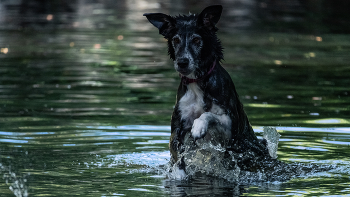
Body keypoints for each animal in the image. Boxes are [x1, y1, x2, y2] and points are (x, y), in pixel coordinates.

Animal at [144, 4, 270, 178]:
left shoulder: (230, 130)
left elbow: (208, 114)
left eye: (197, 40)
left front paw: (199, 127)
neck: (197, 82)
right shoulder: (177, 128)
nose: (182, 62)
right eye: (175, 40)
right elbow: (177, 156)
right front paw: (179, 174)